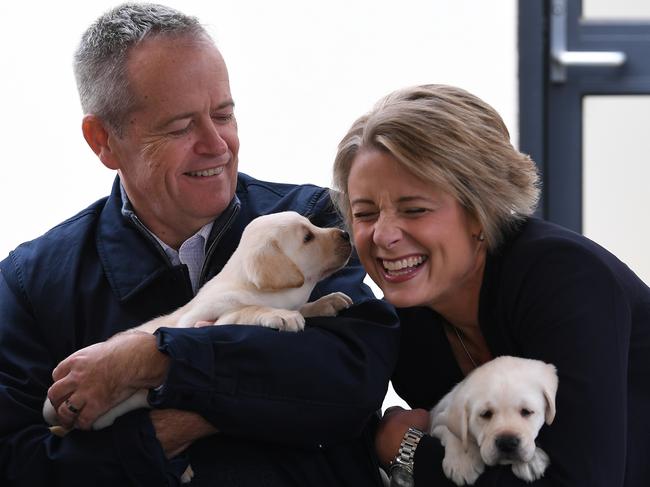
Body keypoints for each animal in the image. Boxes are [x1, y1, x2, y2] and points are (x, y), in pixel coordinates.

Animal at [44, 213, 354, 430]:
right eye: (307, 238)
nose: (346, 234)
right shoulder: (199, 321)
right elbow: (245, 310)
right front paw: (281, 315)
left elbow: (304, 306)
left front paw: (325, 302)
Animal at [428, 356, 556, 486]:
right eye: (485, 414)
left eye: (526, 411)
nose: (507, 443)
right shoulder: (436, 422)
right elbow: (454, 433)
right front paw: (462, 462)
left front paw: (531, 462)